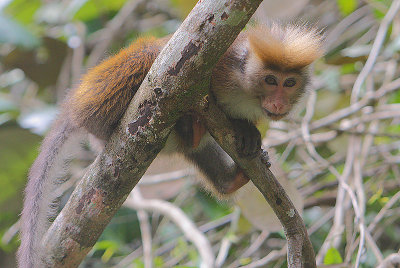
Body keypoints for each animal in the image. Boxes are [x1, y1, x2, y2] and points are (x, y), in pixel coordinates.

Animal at [18, 23, 324, 268]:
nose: (279, 103)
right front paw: (241, 128)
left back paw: (219, 168)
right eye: (271, 80)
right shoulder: (221, 65)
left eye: (289, 83)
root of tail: (74, 108)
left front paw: (248, 133)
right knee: (152, 52)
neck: (247, 91)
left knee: (197, 147)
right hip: (99, 95)